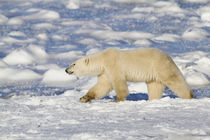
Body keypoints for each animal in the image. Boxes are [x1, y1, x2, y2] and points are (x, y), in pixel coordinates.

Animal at [65, 48, 194, 103]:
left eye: (73, 64)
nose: (66, 70)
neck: (102, 59)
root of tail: (168, 56)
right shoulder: (105, 72)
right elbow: (102, 86)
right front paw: (83, 98)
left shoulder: (113, 66)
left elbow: (118, 83)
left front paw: (116, 100)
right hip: (153, 75)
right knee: (154, 87)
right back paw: (152, 100)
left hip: (161, 66)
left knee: (174, 80)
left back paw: (189, 96)